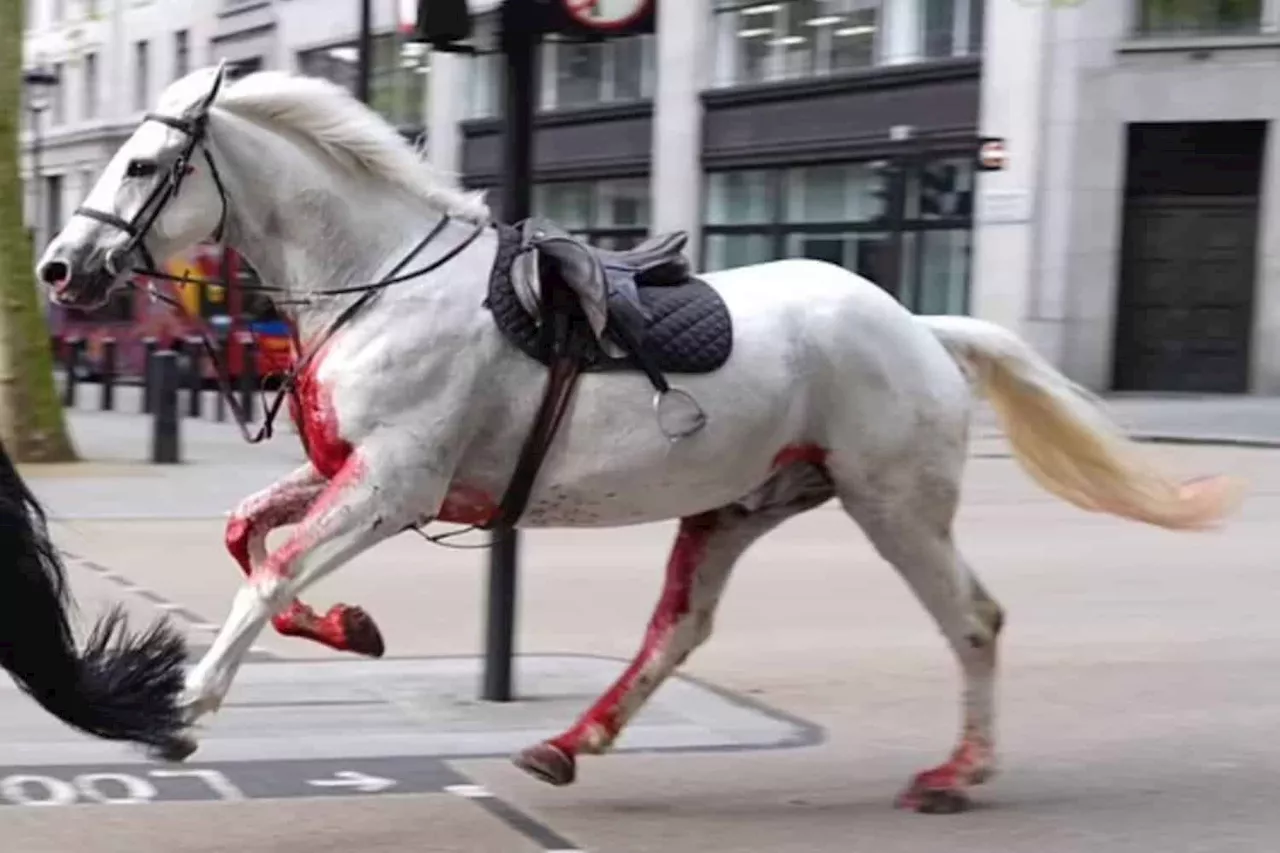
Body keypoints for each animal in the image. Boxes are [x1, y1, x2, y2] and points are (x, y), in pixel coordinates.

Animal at [37, 66, 1239, 809]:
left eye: (141, 165)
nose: (56, 267)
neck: (381, 283)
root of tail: (918, 325)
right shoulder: (353, 472)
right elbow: (250, 537)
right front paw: (353, 628)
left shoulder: (393, 484)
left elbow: (273, 568)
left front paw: (184, 710)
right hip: (739, 506)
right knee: (679, 629)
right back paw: (569, 743)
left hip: (893, 503)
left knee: (974, 620)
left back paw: (956, 774)